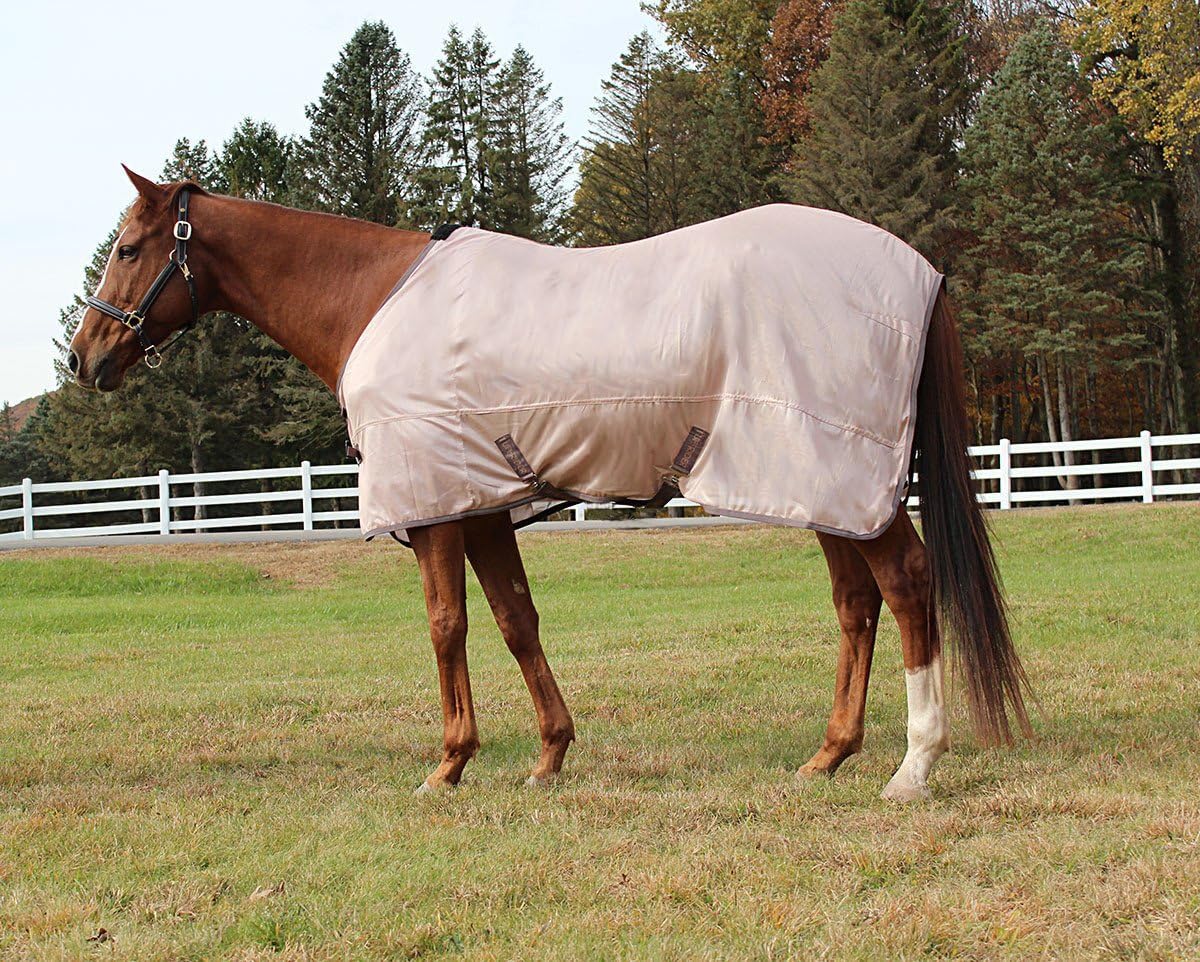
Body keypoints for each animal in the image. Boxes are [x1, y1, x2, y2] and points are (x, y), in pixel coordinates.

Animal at [68, 167, 1031, 800]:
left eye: (127, 248)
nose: (84, 358)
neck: (374, 298)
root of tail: (920, 272)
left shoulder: (436, 510)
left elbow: (447, 627)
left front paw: (449, 764)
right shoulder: (485, 506)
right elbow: (515, 621)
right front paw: (548, 755)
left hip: (843, 477)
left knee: (905, 586)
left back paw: (913, 766)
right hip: (818, 484)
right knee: (856, 604)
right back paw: (829, 755)